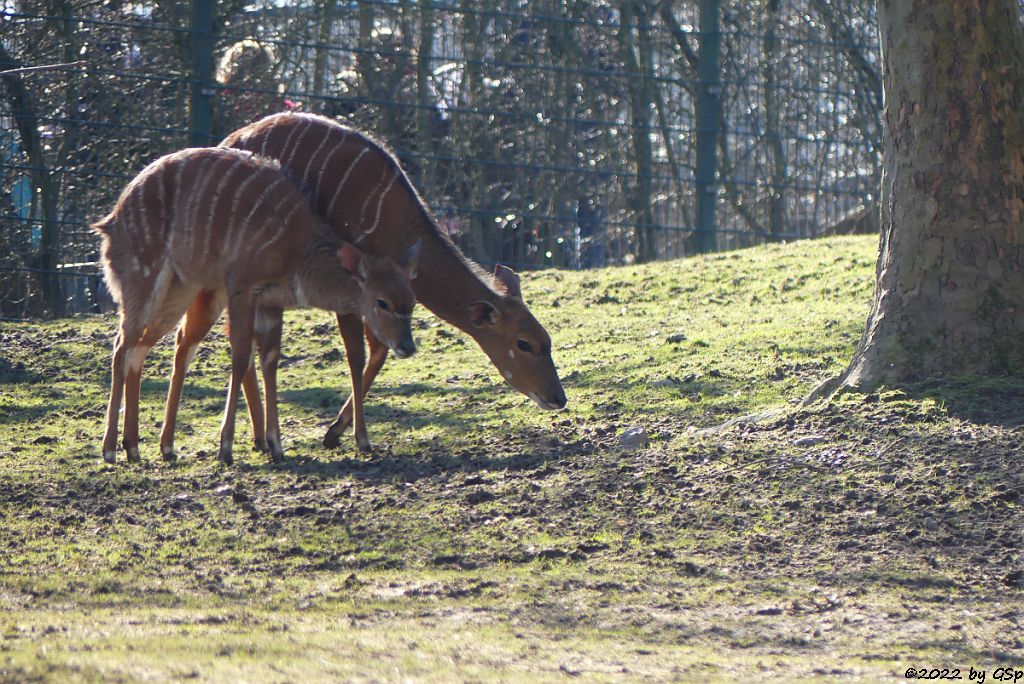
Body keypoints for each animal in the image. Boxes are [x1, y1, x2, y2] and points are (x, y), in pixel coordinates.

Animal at [93, 146, 419, 462]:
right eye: (382, 302)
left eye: (411, 301)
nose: (408, 346)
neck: (296, 249)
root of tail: (110, 220)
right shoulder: (242, 289)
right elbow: (239, 358)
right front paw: (226, 447)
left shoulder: (271, 304)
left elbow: (270, 361)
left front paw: (276, 444)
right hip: (145, 278)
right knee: (122, 345)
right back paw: (110, 449)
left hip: (180, 289)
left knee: (143, 347)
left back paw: (142, 448)